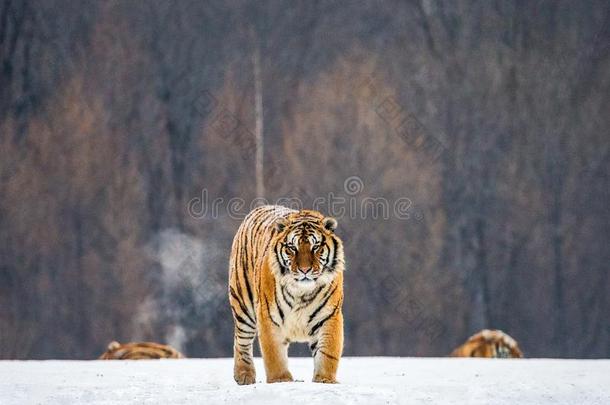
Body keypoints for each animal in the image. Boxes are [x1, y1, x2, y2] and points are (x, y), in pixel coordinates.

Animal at [227, 205, 342, 386]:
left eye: (315, 247)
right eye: (292, 248)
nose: (304, 270)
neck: (302, 292)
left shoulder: (329, 316)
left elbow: (327, 354)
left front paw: (325, 380)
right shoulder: (268, 316)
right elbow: (274, 354)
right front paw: (280, 380)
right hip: (243, 304)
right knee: (241, 340)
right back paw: (244, 375)